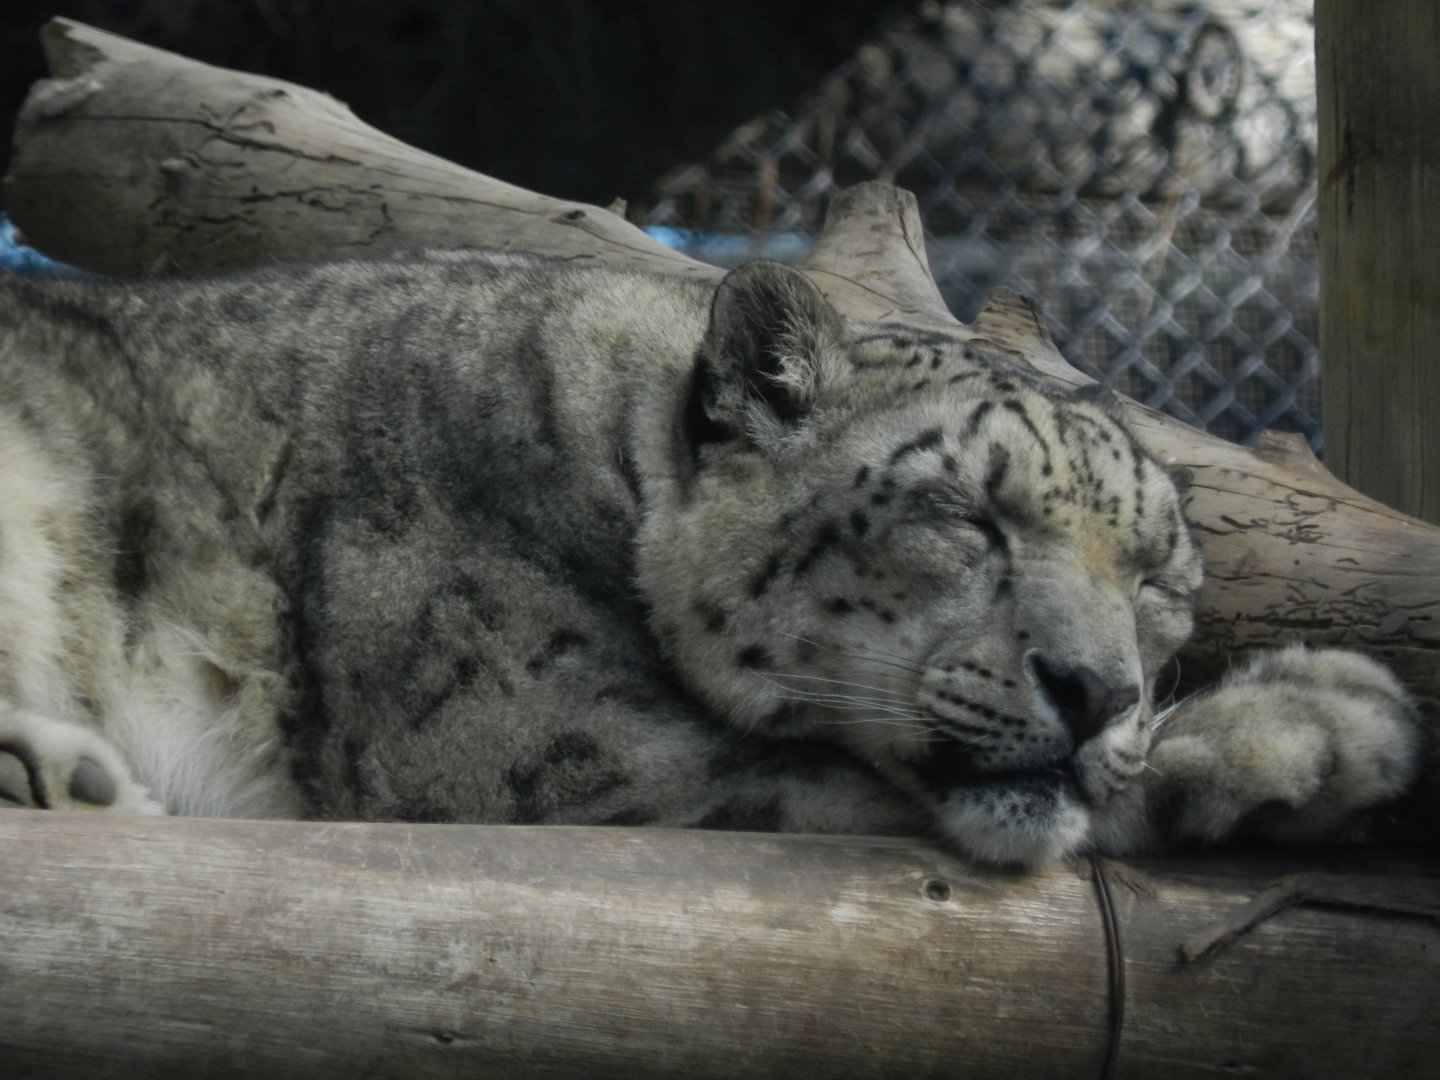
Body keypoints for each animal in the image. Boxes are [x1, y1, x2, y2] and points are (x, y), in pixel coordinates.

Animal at [0, 252, 1422, 867]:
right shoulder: (542, 738)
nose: (1099, 691)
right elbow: (840, 782)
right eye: (964, 515)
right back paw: (62, 775)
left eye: (1158, 579)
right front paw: (1317, 718)